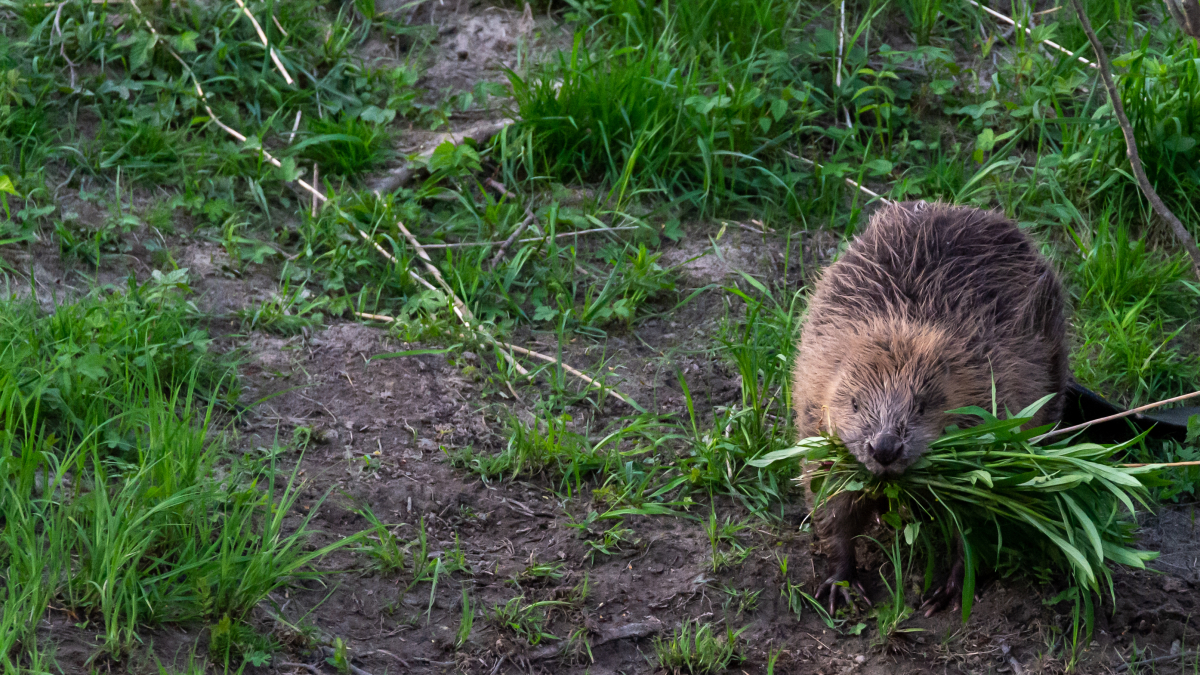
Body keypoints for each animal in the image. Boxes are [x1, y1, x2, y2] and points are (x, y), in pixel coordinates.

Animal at [792, 198, 1065, 610]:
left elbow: (975, 514)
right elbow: (830, 498)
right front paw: (841, 585)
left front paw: (948, 591)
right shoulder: (815, 408)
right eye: (854, 404)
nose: (885, 448)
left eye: (921, 406)